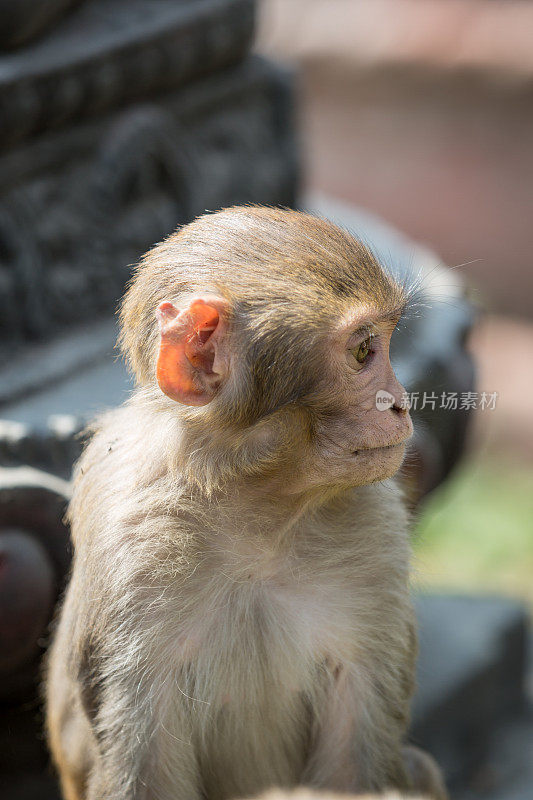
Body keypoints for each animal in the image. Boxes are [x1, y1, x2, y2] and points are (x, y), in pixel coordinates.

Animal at [44, 206, 444, 800]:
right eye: (362, 351)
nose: (400, 404)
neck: (257, 506)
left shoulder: (377, 532)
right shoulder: (130, 545)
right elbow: (143, 768)